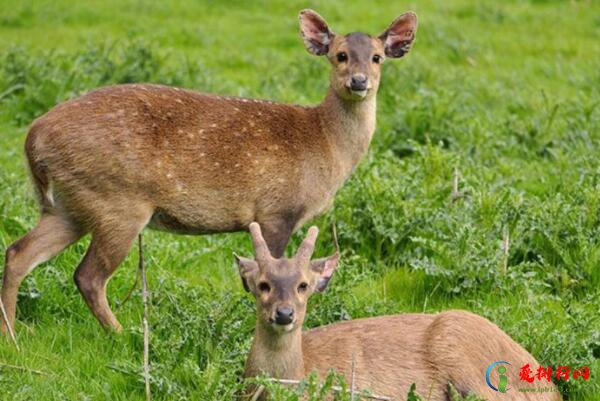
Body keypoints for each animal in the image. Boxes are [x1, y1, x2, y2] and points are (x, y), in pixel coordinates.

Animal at [1, 9, 418, 332]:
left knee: (18, 251)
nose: (358, 81)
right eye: (339, 55)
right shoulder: (276, 210)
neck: (324, 144)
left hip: (68, 205)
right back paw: (122, 334)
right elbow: (271, 270)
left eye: (378, 57)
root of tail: (34, 136)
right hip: (117, 200)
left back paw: (14, 335)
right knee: (87, 275)